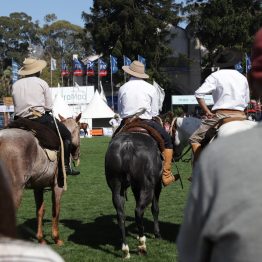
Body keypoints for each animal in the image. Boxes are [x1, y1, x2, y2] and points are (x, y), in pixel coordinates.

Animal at [0, 113, 81, 246]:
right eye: (79, 130)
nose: (77, 154)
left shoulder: (38, 187)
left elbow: (40, 210)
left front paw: (41, 239)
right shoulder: (58, 187)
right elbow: (56, 210)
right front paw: (56, 238)